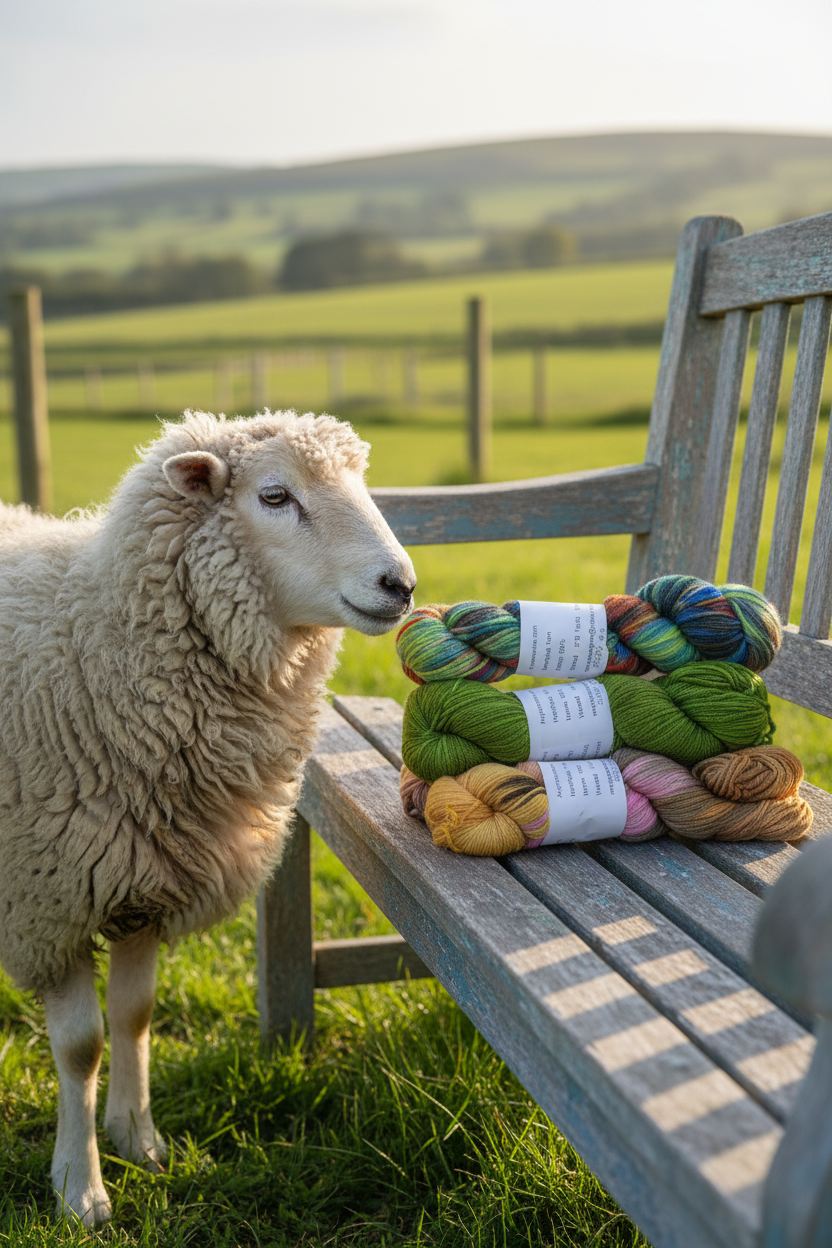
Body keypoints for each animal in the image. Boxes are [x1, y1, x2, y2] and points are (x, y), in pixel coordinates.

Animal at [0, 408, 416, 1225]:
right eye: (275, 495)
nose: (401, 585)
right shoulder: (49, 900)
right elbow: (81, 1048)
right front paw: (80, 1189)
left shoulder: (142, 882)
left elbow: (134, 1015)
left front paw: (138, 1140)